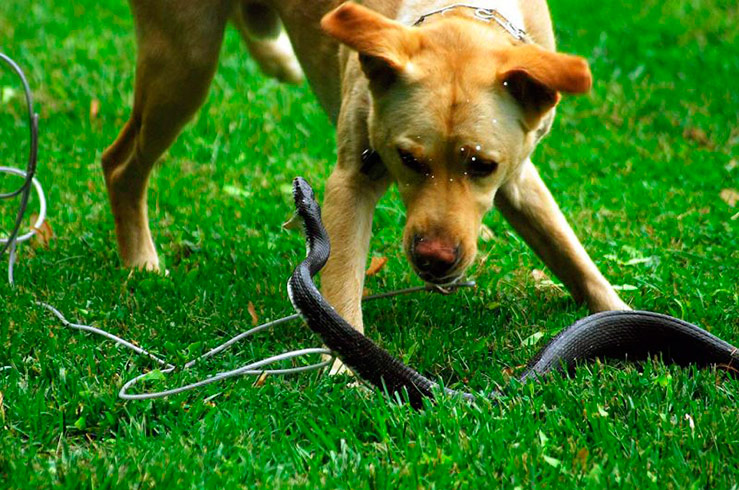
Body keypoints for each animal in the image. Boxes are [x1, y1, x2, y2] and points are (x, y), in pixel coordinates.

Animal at [102, 0, 632, 372]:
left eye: (482, 165)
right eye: (409, 158)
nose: (434, 260)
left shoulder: (519, 177)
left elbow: (573, 257)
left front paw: (621, 314)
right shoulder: (350, 181)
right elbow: (341, 283)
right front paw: (348, 369)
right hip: (183, 65)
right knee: (119, 164)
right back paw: (141, 260)